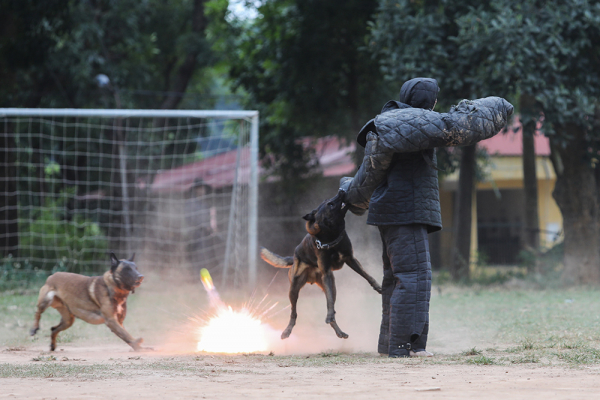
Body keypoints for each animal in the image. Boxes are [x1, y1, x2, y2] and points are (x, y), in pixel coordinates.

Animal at [262, 190, 382, 338]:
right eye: (330, 204)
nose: (341, 191)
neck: (332, 236)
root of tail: (295, 257)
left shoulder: (350, 259)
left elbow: (367, 275)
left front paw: (378, 287)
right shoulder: (327, 273)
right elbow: (329, 303)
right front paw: (329, 315)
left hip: (331, 286)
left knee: (331, 306)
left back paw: (339, 331)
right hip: (294, 289)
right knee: (293, 313)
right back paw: (287, 330)